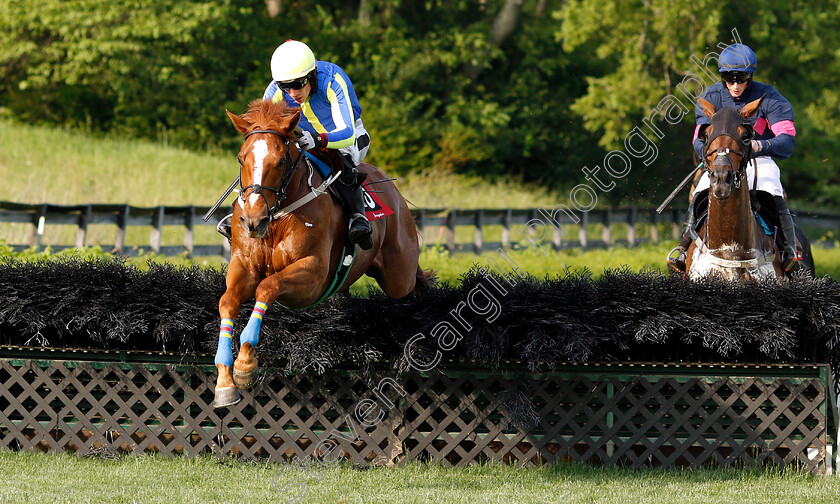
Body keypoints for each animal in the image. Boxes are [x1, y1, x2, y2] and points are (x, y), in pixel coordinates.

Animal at [213, 99, 430, 410]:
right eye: (241, 158)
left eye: (280, 162)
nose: (253, 220)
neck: (277, 215)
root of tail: (389, 186)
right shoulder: (243, 266)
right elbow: (228, 301)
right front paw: (224, 381)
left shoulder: (312, 276)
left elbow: (267, 286)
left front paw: (245, 364)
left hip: (398, 274)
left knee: (412, 281)